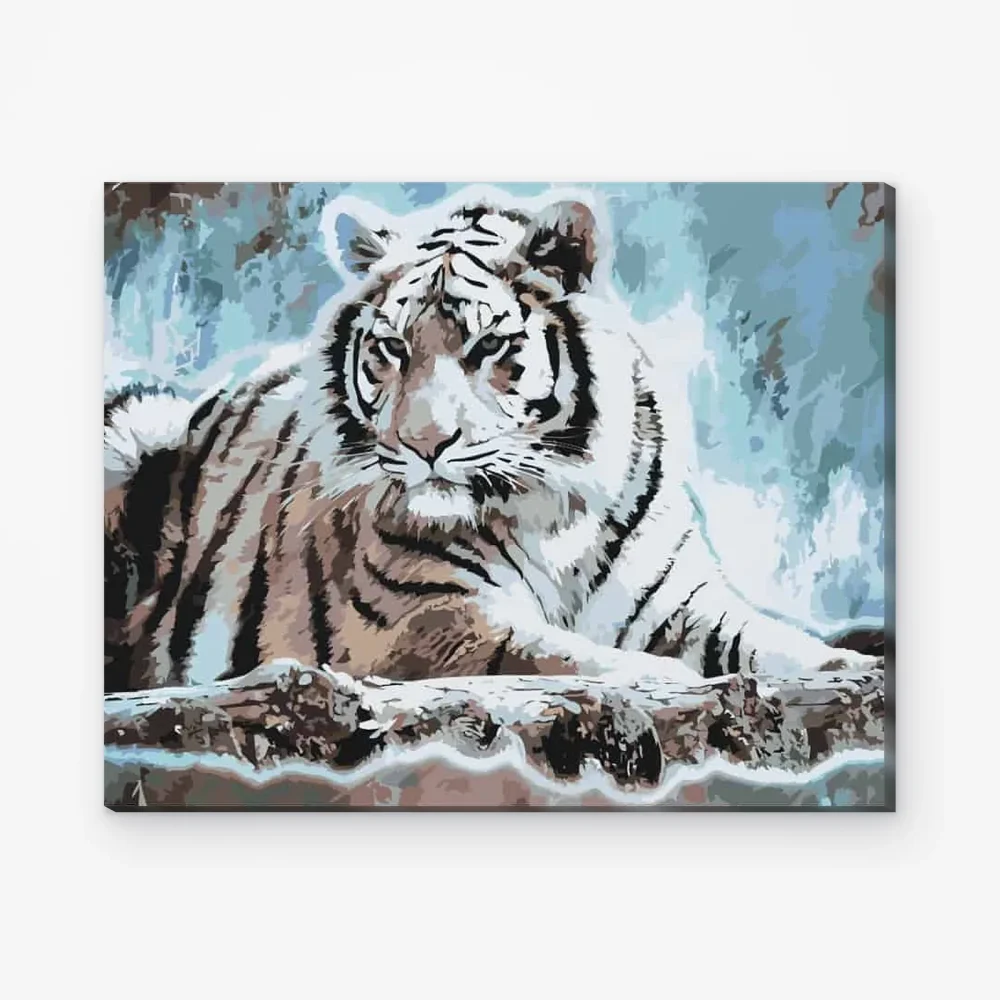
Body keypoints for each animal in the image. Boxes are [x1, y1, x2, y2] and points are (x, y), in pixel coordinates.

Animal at [104, 186, 883, 694]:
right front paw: (665, 678)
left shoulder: (680, 602)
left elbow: (766, 639)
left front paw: (852, 666)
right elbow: (567, 656)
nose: (424, 445)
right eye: (391, 348)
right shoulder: (433, 616)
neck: (554, 512)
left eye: (488, 345)